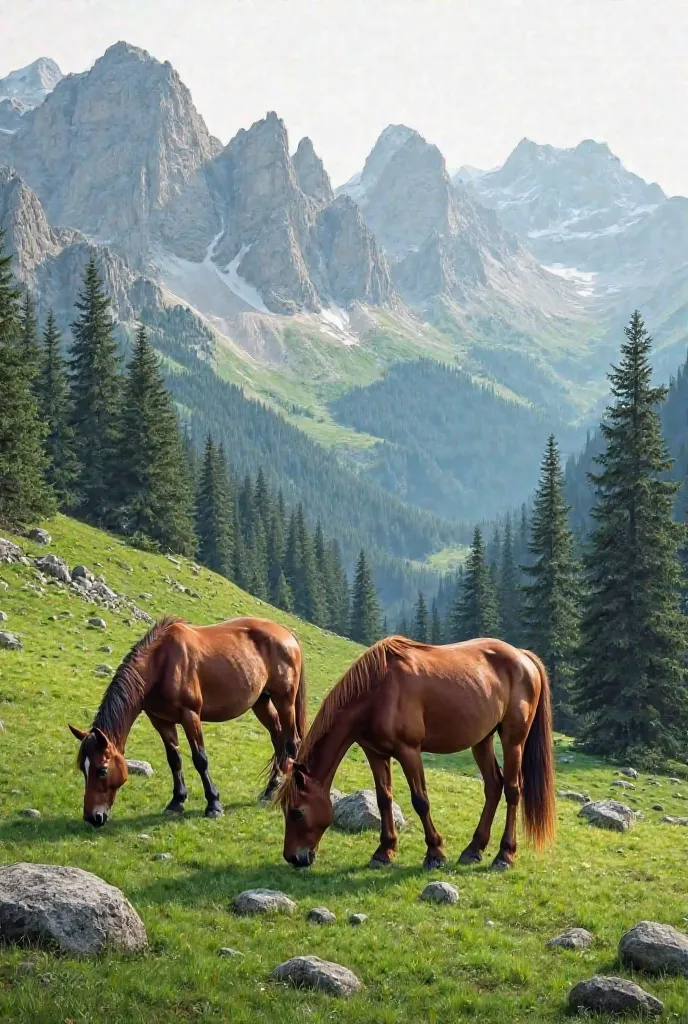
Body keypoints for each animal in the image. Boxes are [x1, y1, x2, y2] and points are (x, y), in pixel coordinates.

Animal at [70, 614, 307, 823]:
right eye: (83, 768)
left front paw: (213, 805)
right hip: (261, 701)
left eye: (102, 770)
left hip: (284, 700)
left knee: (291, 742)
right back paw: (269, 791)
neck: (161, 663)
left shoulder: (190, 715)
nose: (93, 817)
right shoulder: (161, 720)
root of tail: (287, 634)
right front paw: (177, 802)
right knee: (278, 739)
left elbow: (200, 759)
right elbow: (174, 759)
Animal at [276, 634, 556, 868]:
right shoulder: (375, 753)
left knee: (512, 790)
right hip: (482, 740)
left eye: (297, 812)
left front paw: (435, 853)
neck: (378, 691)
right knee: (493, 785)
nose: (293, 857)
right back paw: (473, 849)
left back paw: (504, 855)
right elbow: (384, 799)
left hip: (513, 741)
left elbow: (420, 801)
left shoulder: (409, 751)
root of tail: (523, 657)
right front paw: (384, 851)